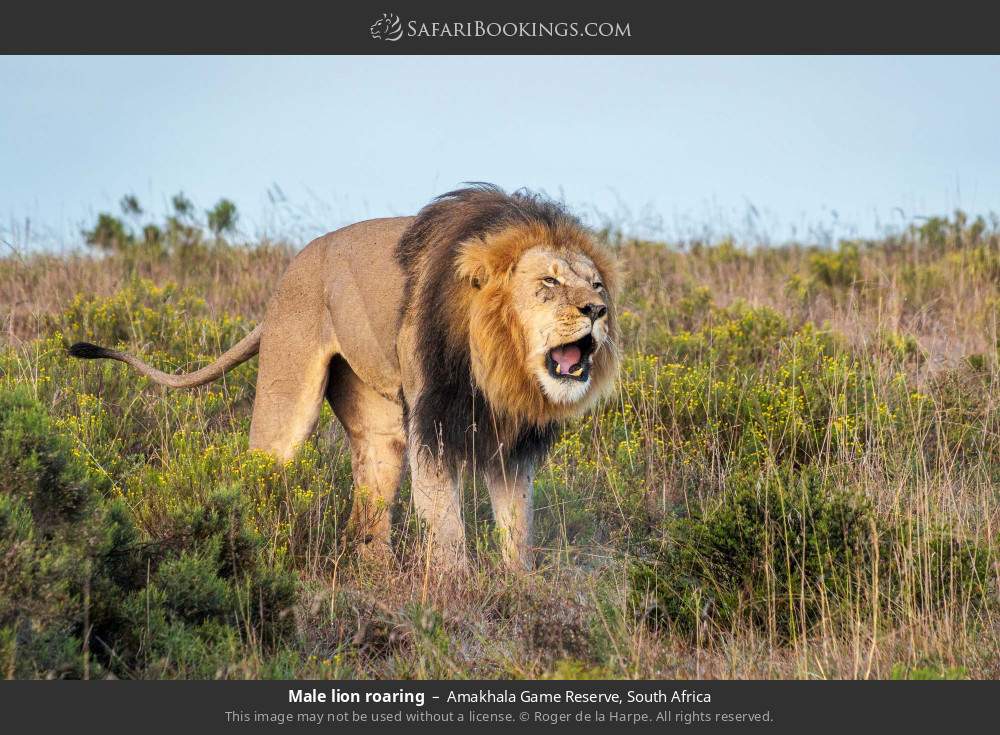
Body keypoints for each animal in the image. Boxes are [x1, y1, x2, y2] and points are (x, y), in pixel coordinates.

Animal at [69, 185, 619, 570]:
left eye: (595, 284)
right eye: (548, 282)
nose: (597, 311)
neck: (499, 368)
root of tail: (286, 277)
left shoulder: (512, 445)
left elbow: (517, 528)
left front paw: (519, 588)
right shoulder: (435, 427)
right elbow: (447, 528)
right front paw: (458, 596)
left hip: (380, 430)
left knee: (367, 513)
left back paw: (379, 576)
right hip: (285, 401)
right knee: (261, 472)